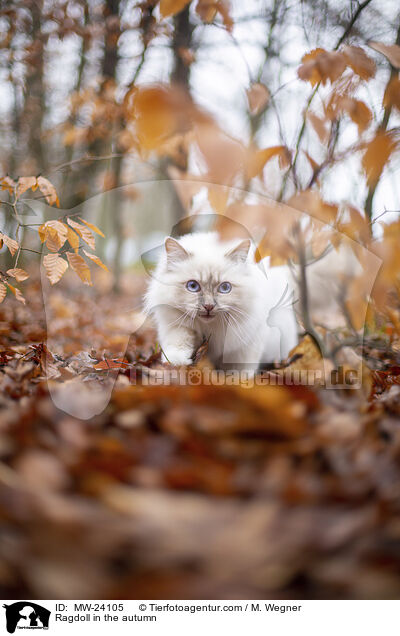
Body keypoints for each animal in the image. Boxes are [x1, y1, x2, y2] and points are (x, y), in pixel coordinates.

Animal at [143, 232, 296, 372]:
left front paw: (237, 378)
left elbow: (241, 366)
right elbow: (178, 342)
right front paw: (175, 363)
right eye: (192, 286)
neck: (210, 327)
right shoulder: (178, 325)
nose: (208, 306)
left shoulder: (247, 340)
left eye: (225, 288)